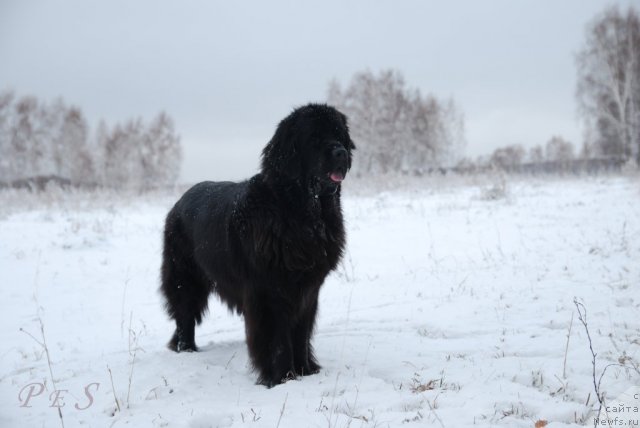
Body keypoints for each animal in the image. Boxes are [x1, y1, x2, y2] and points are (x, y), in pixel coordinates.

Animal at [159, 103, 356, 388]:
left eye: (339, 135)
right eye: (315, 138)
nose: (340, 152)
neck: (299, 214)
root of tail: (178, 202)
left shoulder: (308, 290)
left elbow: (302, 333)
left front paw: (306, 370)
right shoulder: (269, 291)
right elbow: (278, 339)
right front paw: (282, 376)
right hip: (184, 277)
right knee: (185, 313)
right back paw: (186, 349)